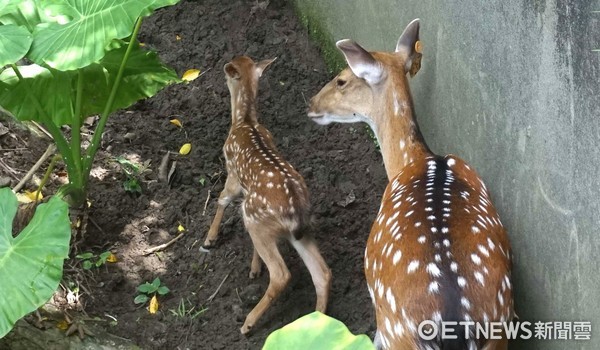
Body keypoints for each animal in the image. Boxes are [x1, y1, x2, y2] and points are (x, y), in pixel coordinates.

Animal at [204, 55, 330, 334]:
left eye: (229, 70)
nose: (222, 69)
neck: (244, 121)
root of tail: (296, 211)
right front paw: (254, 268)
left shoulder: (232, 171)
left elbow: (222, 198)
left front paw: (209, 239)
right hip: (300, 232)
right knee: (323, 273)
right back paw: (317, 323)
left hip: (255, 219)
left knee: (282, 275)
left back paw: (248, 324)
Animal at [310, 19, 510, 350]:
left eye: (341, 80)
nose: (311, 104)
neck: (411, 160)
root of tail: (453, 326)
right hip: (500, 331)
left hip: (397, 328)